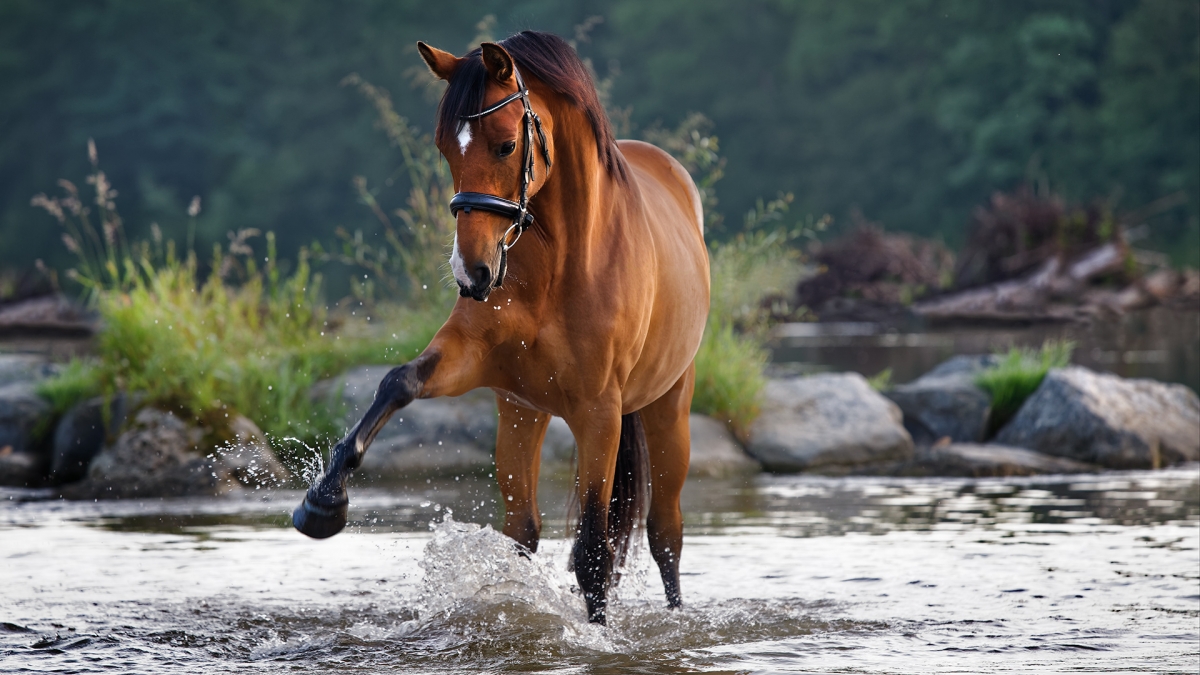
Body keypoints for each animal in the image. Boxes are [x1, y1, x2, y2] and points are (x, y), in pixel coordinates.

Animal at [294, 30, 705, 619]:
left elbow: (593, 555)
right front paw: (323, 502)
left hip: (667, 408)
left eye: (506, 145)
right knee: (522, 529)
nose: (472, 272)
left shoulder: (599, 413)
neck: (561, 263)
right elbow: (397, 382)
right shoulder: (471, 359)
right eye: (445, 148)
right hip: (521, 413)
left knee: (664, 533)